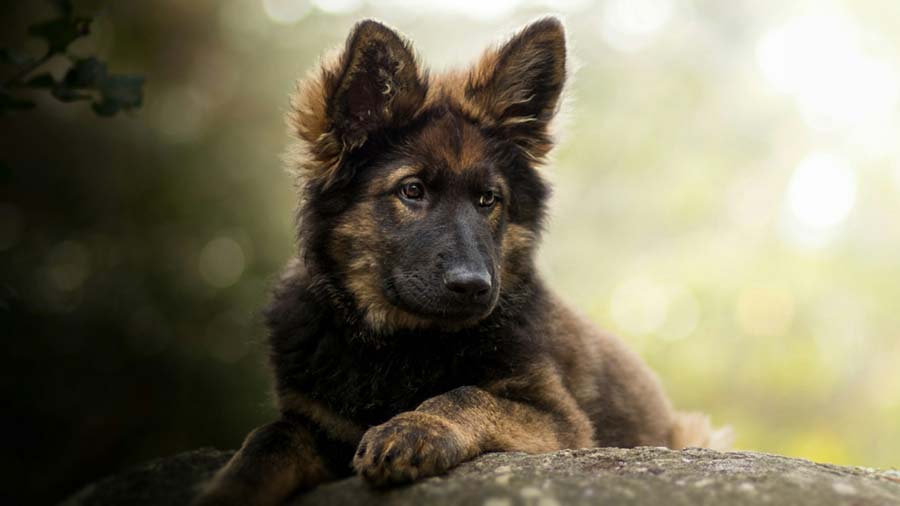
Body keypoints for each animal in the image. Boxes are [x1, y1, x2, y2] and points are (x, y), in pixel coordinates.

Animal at [193, 16, 728, 506]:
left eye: (488, 199)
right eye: (412, 190)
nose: (474, 286)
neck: (398, 346)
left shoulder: (560, 420)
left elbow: (468, 394)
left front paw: (413, 427)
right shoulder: (315, 423)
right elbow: (266, 441)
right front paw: (226, 489)